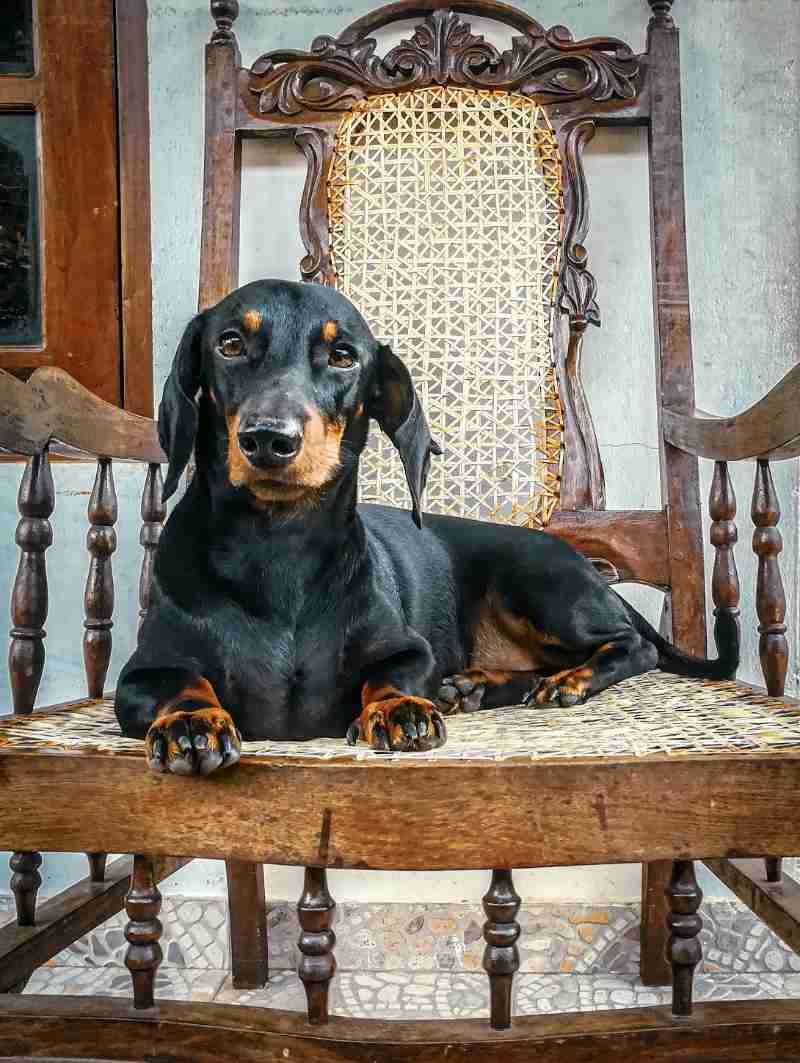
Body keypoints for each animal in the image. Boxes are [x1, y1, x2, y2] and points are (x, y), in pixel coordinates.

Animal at [113, 282, 735, 778]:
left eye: (343, 355)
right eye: (230, 344)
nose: (269, 438)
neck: (277, 547)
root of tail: (584, 564)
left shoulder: (413, 653)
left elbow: (395, 674)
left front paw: (398, 709)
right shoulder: (138, 677)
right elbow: (178, 682)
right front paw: (193, 721)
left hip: (538, 587)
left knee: (633, 645)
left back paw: (566, 682)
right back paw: (476, 685)